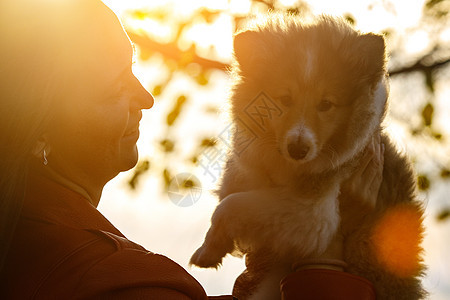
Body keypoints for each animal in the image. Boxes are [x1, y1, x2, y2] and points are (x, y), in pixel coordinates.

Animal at [190, 14, 426, 300]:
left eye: (326, 104)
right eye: (284, 99)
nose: (298, 149)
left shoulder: (313, 213)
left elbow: (229, 206)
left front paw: (206, 251)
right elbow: (231, 195)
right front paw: (211, 249)